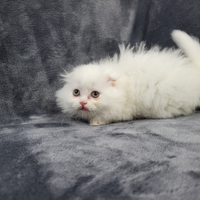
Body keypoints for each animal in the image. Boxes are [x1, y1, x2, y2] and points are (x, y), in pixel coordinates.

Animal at [55, 30, 200, 125]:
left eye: (95, 94)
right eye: (76, 93)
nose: (83, 103)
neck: (123, 88)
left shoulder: (121, 111)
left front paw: (96, 122)